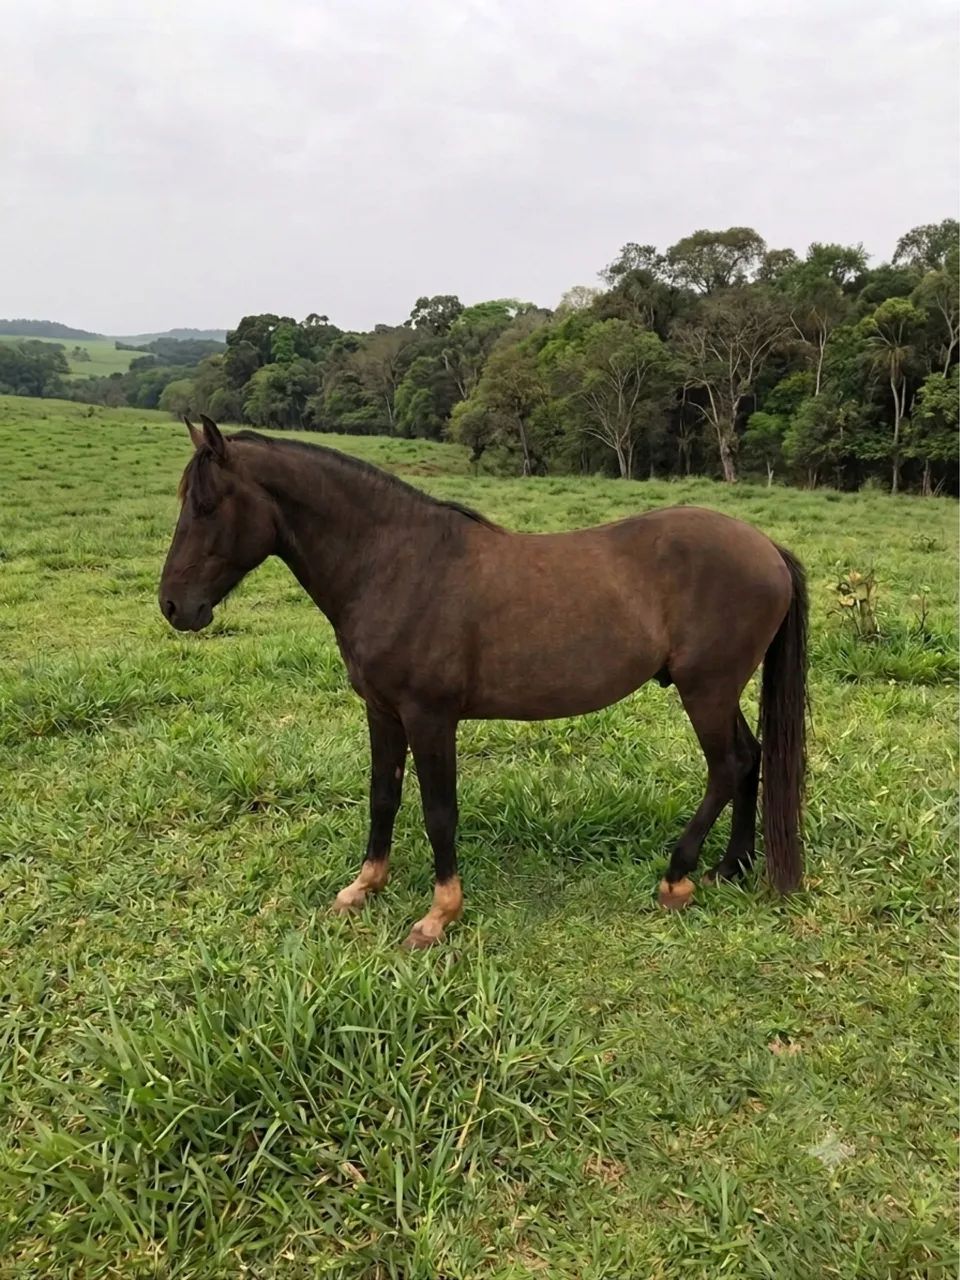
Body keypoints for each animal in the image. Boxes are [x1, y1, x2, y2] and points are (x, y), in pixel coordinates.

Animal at [159, 415, 808, 949]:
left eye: (208, 505)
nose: (173, 606)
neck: (395, 565)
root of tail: (766, 547)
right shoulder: (382, 711)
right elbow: (383, 796)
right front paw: (365, 886)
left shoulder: (430, 717)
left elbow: (438, 811)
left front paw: (439, 914)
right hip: (718, 691)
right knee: (749, 757)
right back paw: (730, 867)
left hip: (706, 690)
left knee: (726, 765)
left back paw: (677, 878)